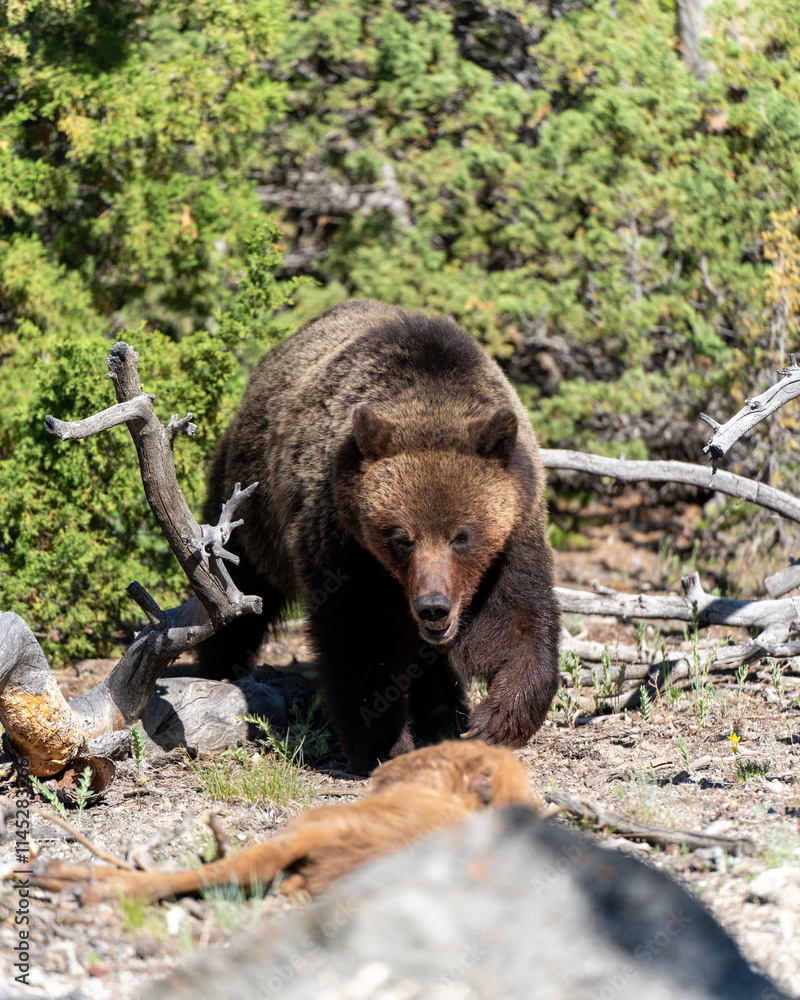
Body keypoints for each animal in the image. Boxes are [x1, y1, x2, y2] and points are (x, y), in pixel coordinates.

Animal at [198, 299, 561, 773]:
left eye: (461, 535)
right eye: (401, 537)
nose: (432, 607)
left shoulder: (512, 535)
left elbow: (519, 621)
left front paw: (494, 719)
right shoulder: (345, 544)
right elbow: (360, 639)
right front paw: (384, 742)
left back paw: (443, 712)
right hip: (250, 506)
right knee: (239, 588)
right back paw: (217, 665)